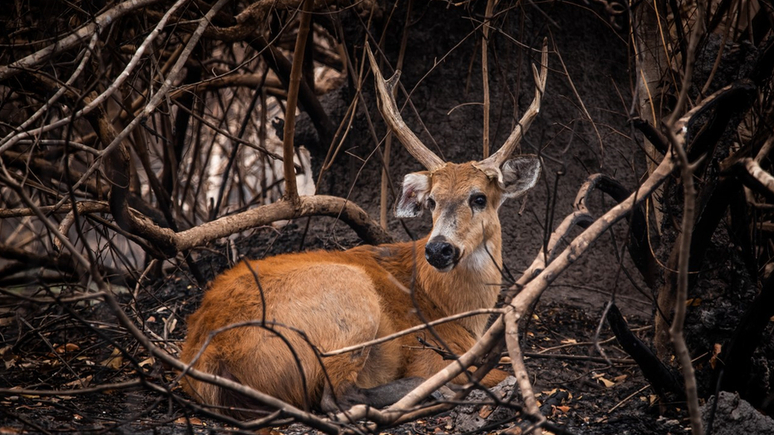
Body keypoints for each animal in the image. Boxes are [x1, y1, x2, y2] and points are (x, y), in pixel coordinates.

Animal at [180, 42, 548, 418]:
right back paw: (439, 391)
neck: (452, 310)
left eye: (479, 198)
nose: (438, 249)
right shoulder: (434, 349)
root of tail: (212, 358)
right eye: (431, 201)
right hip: (349, 301)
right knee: (336, 398)